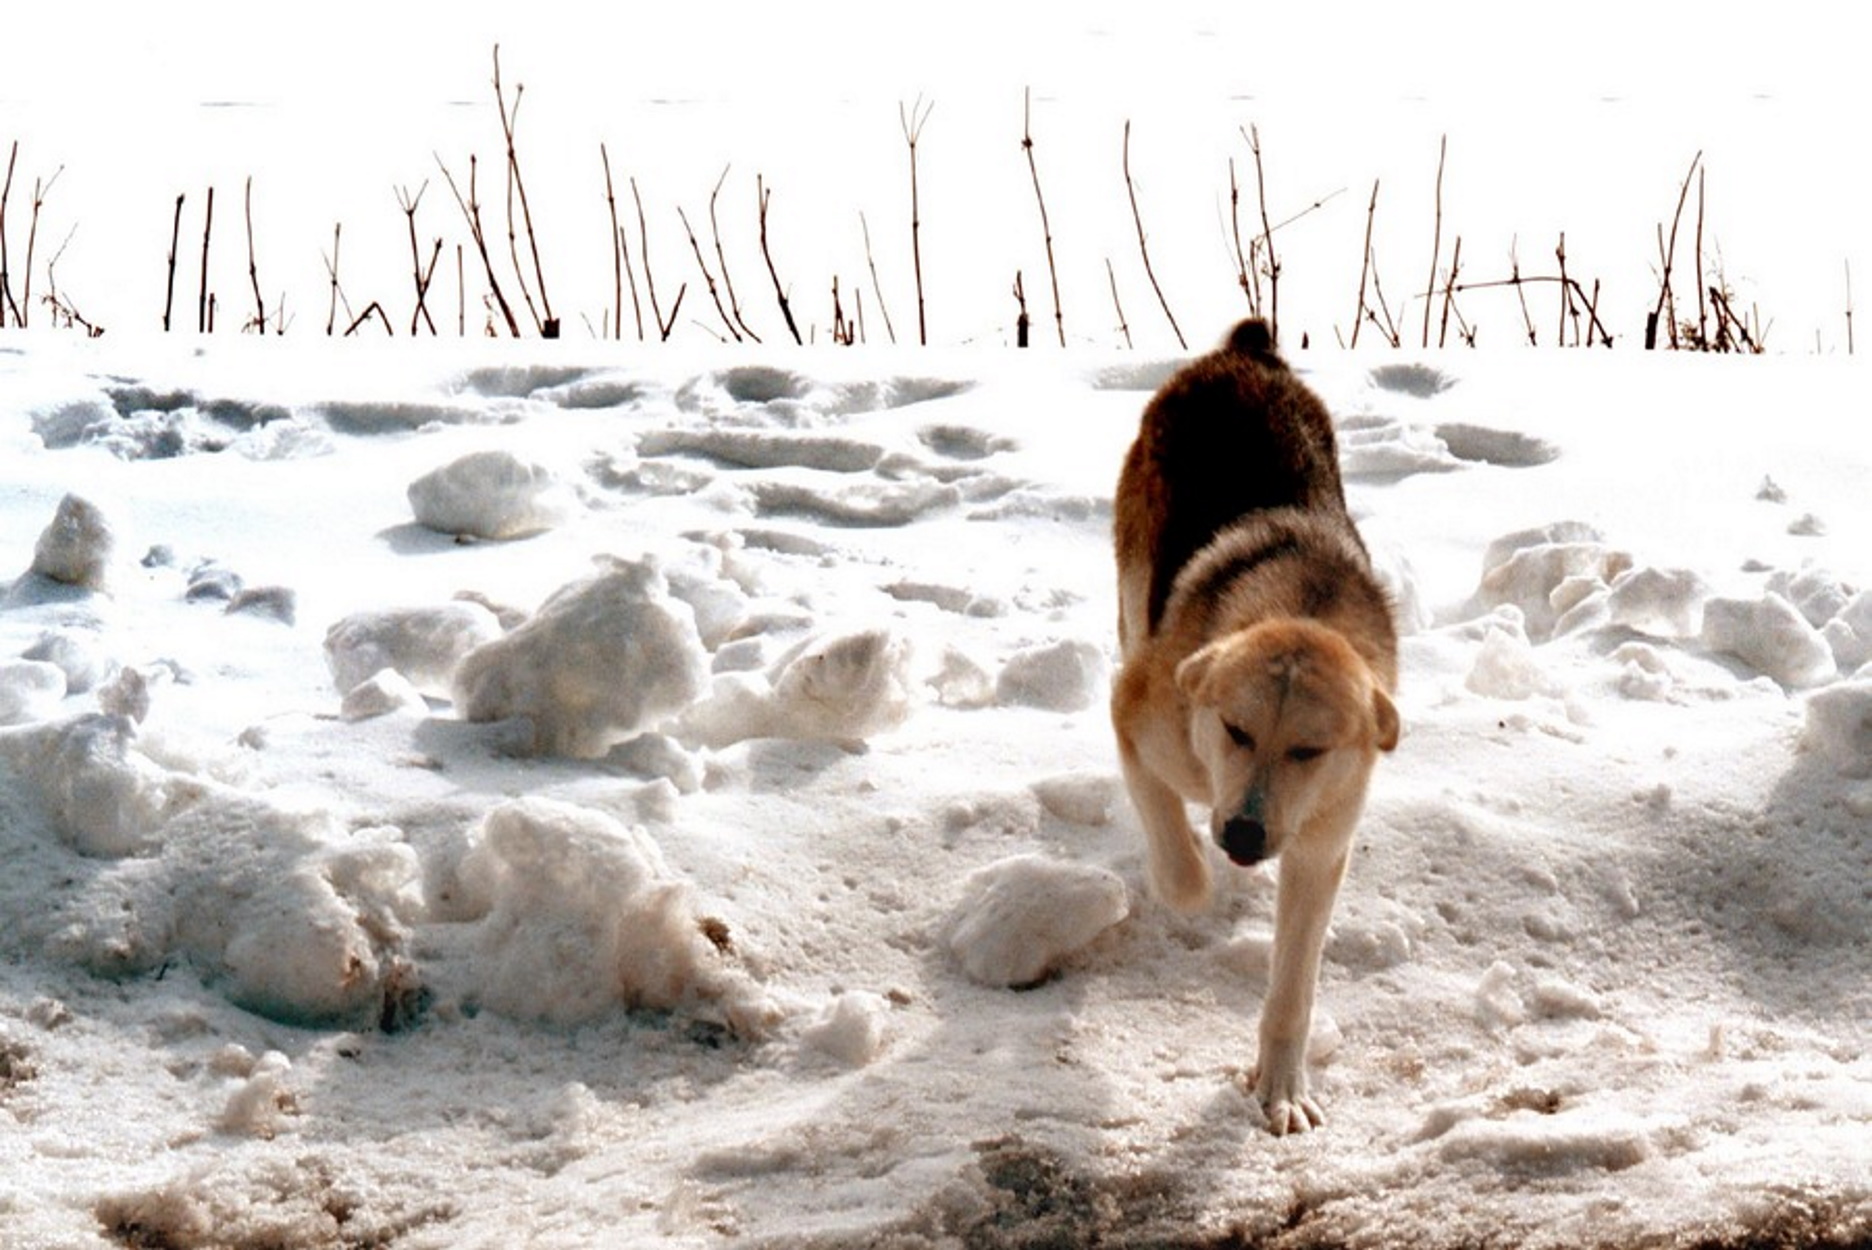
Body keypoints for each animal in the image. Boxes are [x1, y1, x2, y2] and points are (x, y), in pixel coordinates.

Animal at [1100, 319, 1400, 1130]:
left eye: (1309, 750)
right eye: (1235, 730)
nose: (1240, 835)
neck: (1304, 606)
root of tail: (1246, 350)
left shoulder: (1322, 845)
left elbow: (1294, 987)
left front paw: (1282, 1087)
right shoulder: (1135, 714)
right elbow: (1177, 864)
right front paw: (1187, 882)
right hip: (1134, 580)